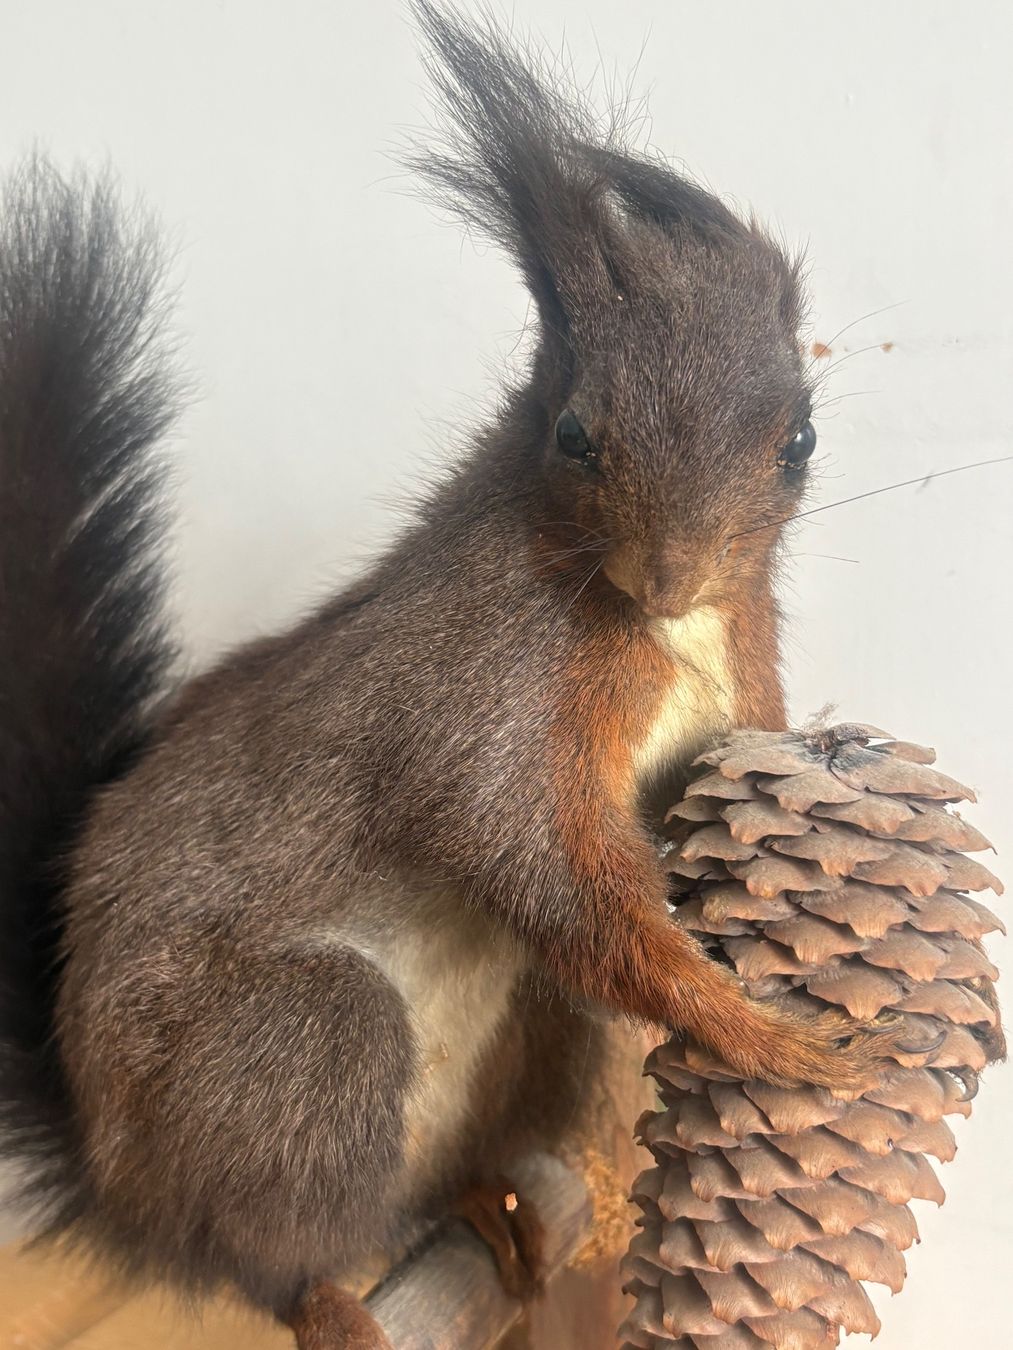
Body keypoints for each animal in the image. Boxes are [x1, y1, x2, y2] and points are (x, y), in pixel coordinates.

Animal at [0, 4, 908, 1348]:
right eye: (573, 434)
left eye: (797, 440)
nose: (670, 574)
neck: (659, 630)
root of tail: (120, 1193)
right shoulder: (478, 697)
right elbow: (531, 860)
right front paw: (759, 1033)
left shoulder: (722, 702)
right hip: (296, 1051)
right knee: (259, 1248)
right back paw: (328, 1296)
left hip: (530, 1038)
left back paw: (492, 1210)